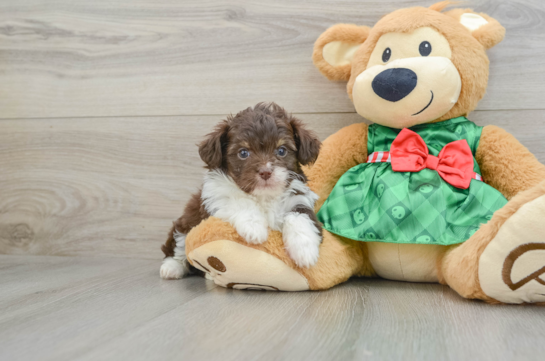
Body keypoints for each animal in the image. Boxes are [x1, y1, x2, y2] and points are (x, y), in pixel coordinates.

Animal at [162, 101, 324, 278]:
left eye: (281, 150)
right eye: (243, 153)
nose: (265, 172)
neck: (264, 196)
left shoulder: (299, 198)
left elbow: (300, 217)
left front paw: (304, 250)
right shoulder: (215, 196)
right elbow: (238, 200)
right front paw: (254, 228)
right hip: (186, 223)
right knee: (178, 245)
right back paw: (172, 267)